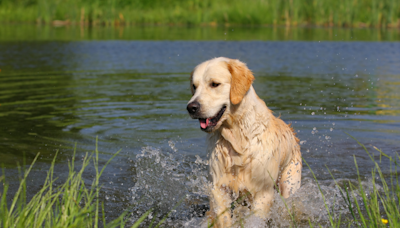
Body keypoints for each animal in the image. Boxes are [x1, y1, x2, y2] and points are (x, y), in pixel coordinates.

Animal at [186, 57, 302, 226]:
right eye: (194, 87)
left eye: (214, 84)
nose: (191, 107)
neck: (237, 137)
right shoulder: (219, 187)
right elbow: (223, 218)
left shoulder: (263, 191)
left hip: (290, 181)